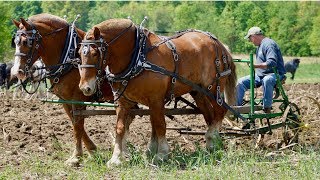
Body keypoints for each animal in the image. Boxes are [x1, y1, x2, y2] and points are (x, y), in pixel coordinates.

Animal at [10, 13, 118, 167]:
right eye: (15, 42)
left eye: (26, 41)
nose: (16, 71)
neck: (70, 57)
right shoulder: (65, 100)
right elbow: (75, 123)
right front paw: (92, 151)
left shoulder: (77, 99)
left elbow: (77, 126)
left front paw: (76, 156)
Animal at [78, 18, 236, 166]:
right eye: (79, 53)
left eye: (95, 53)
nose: (85, 87)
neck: (137, 56)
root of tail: (220, 45)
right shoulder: (123, 102)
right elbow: (121, 128)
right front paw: (116, 158)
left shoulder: (155, 99)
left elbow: (160, 125)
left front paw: (162, 154)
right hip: (199, 92)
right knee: (209, 114)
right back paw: (211, 145)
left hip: (213, 88)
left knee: (220, 111)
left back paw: (212, 137)